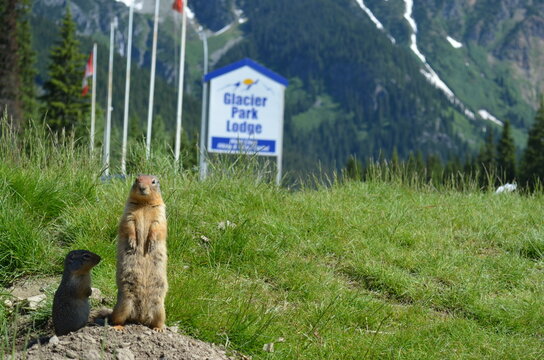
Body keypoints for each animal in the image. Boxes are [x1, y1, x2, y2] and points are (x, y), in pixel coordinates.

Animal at [111, 174, 168, 332]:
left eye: (153, 181)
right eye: (137, 179)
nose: (142, 188)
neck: (144, 204)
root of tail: (140, 318)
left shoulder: (161, 213)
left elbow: (157, 226)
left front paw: (151, 244)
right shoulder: (128, 212)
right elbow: (128, 225)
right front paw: (133, 243)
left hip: (160, 309)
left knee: (157, 321)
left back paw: (158, 329)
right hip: (124, 304)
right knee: (115, 318)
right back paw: (118, 327)